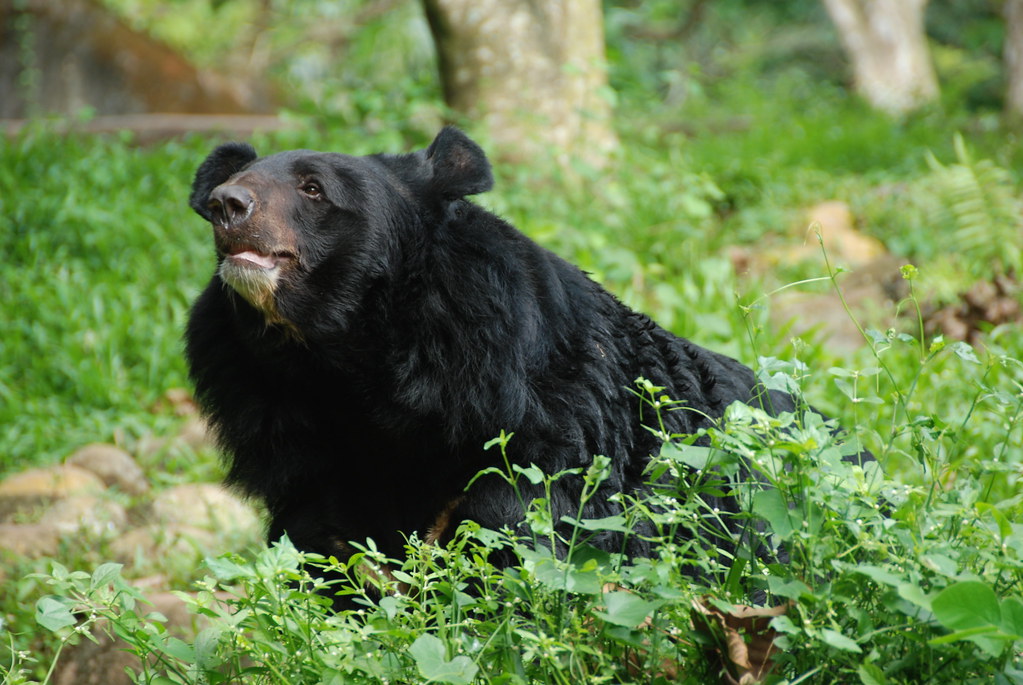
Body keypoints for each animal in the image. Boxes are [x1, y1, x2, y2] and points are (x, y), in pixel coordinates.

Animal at [186, 127, 855, 597]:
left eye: (313, 188)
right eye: (241, 179)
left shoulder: (544, 420)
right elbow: (322, 544)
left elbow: (521, 522)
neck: (347, 364)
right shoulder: (298, 435)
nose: (226, 203)